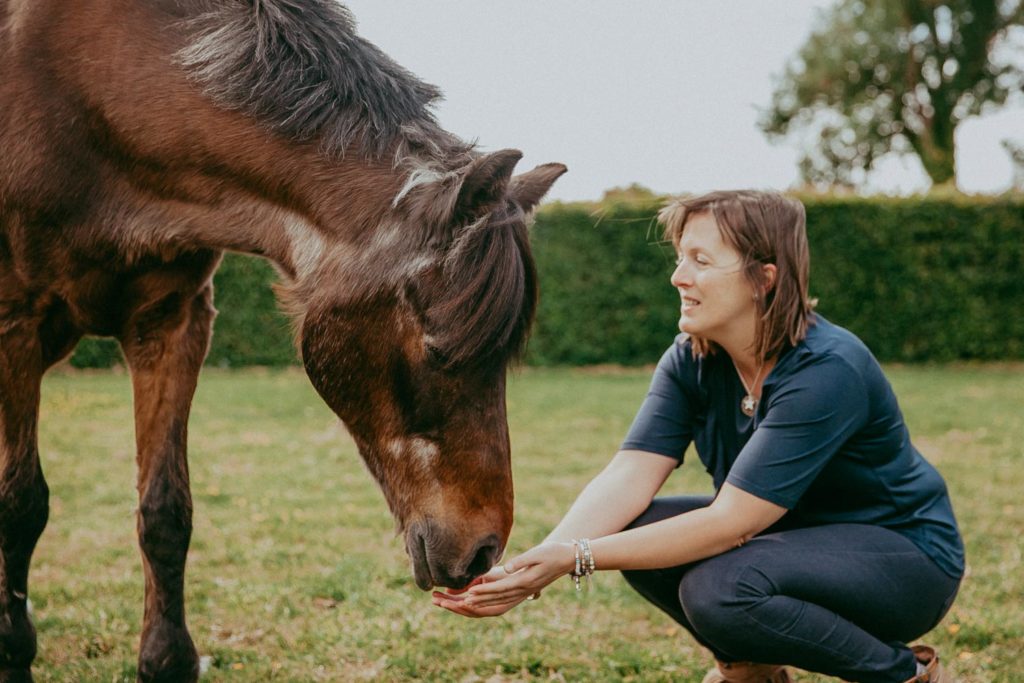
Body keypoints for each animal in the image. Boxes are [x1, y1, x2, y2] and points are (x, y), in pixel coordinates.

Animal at [0, 2, 565, 679]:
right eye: (437, 349)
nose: (482, 550)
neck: (91, 91)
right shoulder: (15, 324)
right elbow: (19, 506)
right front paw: (13, 651)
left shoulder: (172, 324)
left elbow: (165, 510)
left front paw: (166, 660)